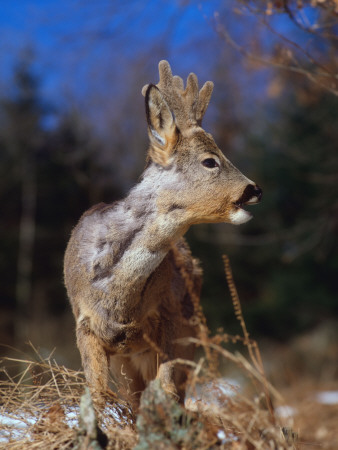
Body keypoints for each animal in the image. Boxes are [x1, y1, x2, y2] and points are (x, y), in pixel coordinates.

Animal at [63, 60, 262, 412]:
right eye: (210, 161)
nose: (254, 189)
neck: (118, 301)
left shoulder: (172, 324)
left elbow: (166, 391)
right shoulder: (85, 327)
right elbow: (97, 395)